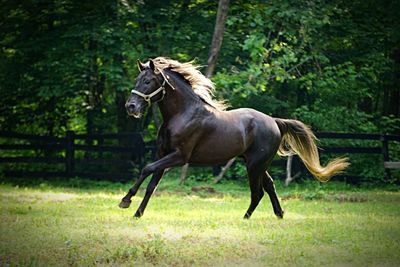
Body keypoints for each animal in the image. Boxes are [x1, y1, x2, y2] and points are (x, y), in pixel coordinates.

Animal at [118, 57, 346, 219]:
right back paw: (279, 215)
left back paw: (245, 218)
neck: (183, 114)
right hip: (257, 164)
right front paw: (136, 212)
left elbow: (146, 168)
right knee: (270, 186)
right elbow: (151, 184)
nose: (130, 107)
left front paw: (125, 200)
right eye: (137, 80)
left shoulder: (179, 157)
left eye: (148, 81)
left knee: (258, 192)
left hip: (255, 165)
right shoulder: (163, 154)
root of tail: (274, 121)